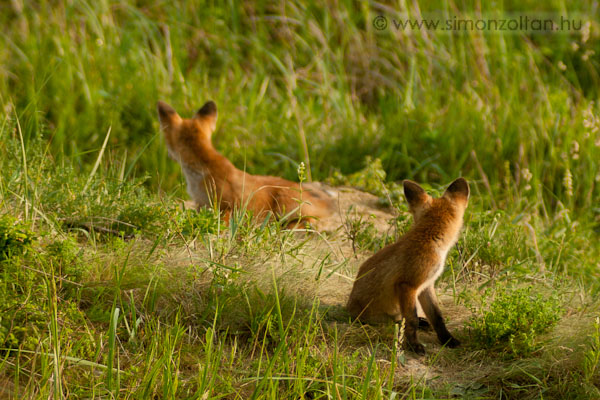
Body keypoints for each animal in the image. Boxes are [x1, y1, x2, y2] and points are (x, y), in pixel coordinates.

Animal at [156, 100, 332, 225]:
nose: (169, 155)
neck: (204, 168)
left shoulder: (225, 205)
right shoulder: (202, 204)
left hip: (285, 204)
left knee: (307, 221)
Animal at [346, 177, 468, 354]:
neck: (429, 238)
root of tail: (348, 309)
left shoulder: (426, 285)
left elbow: (437, 317)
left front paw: (447, 339)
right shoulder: (407, 285)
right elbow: (411, 320)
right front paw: (414, 345)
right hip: (382, 316)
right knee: (399, 321)